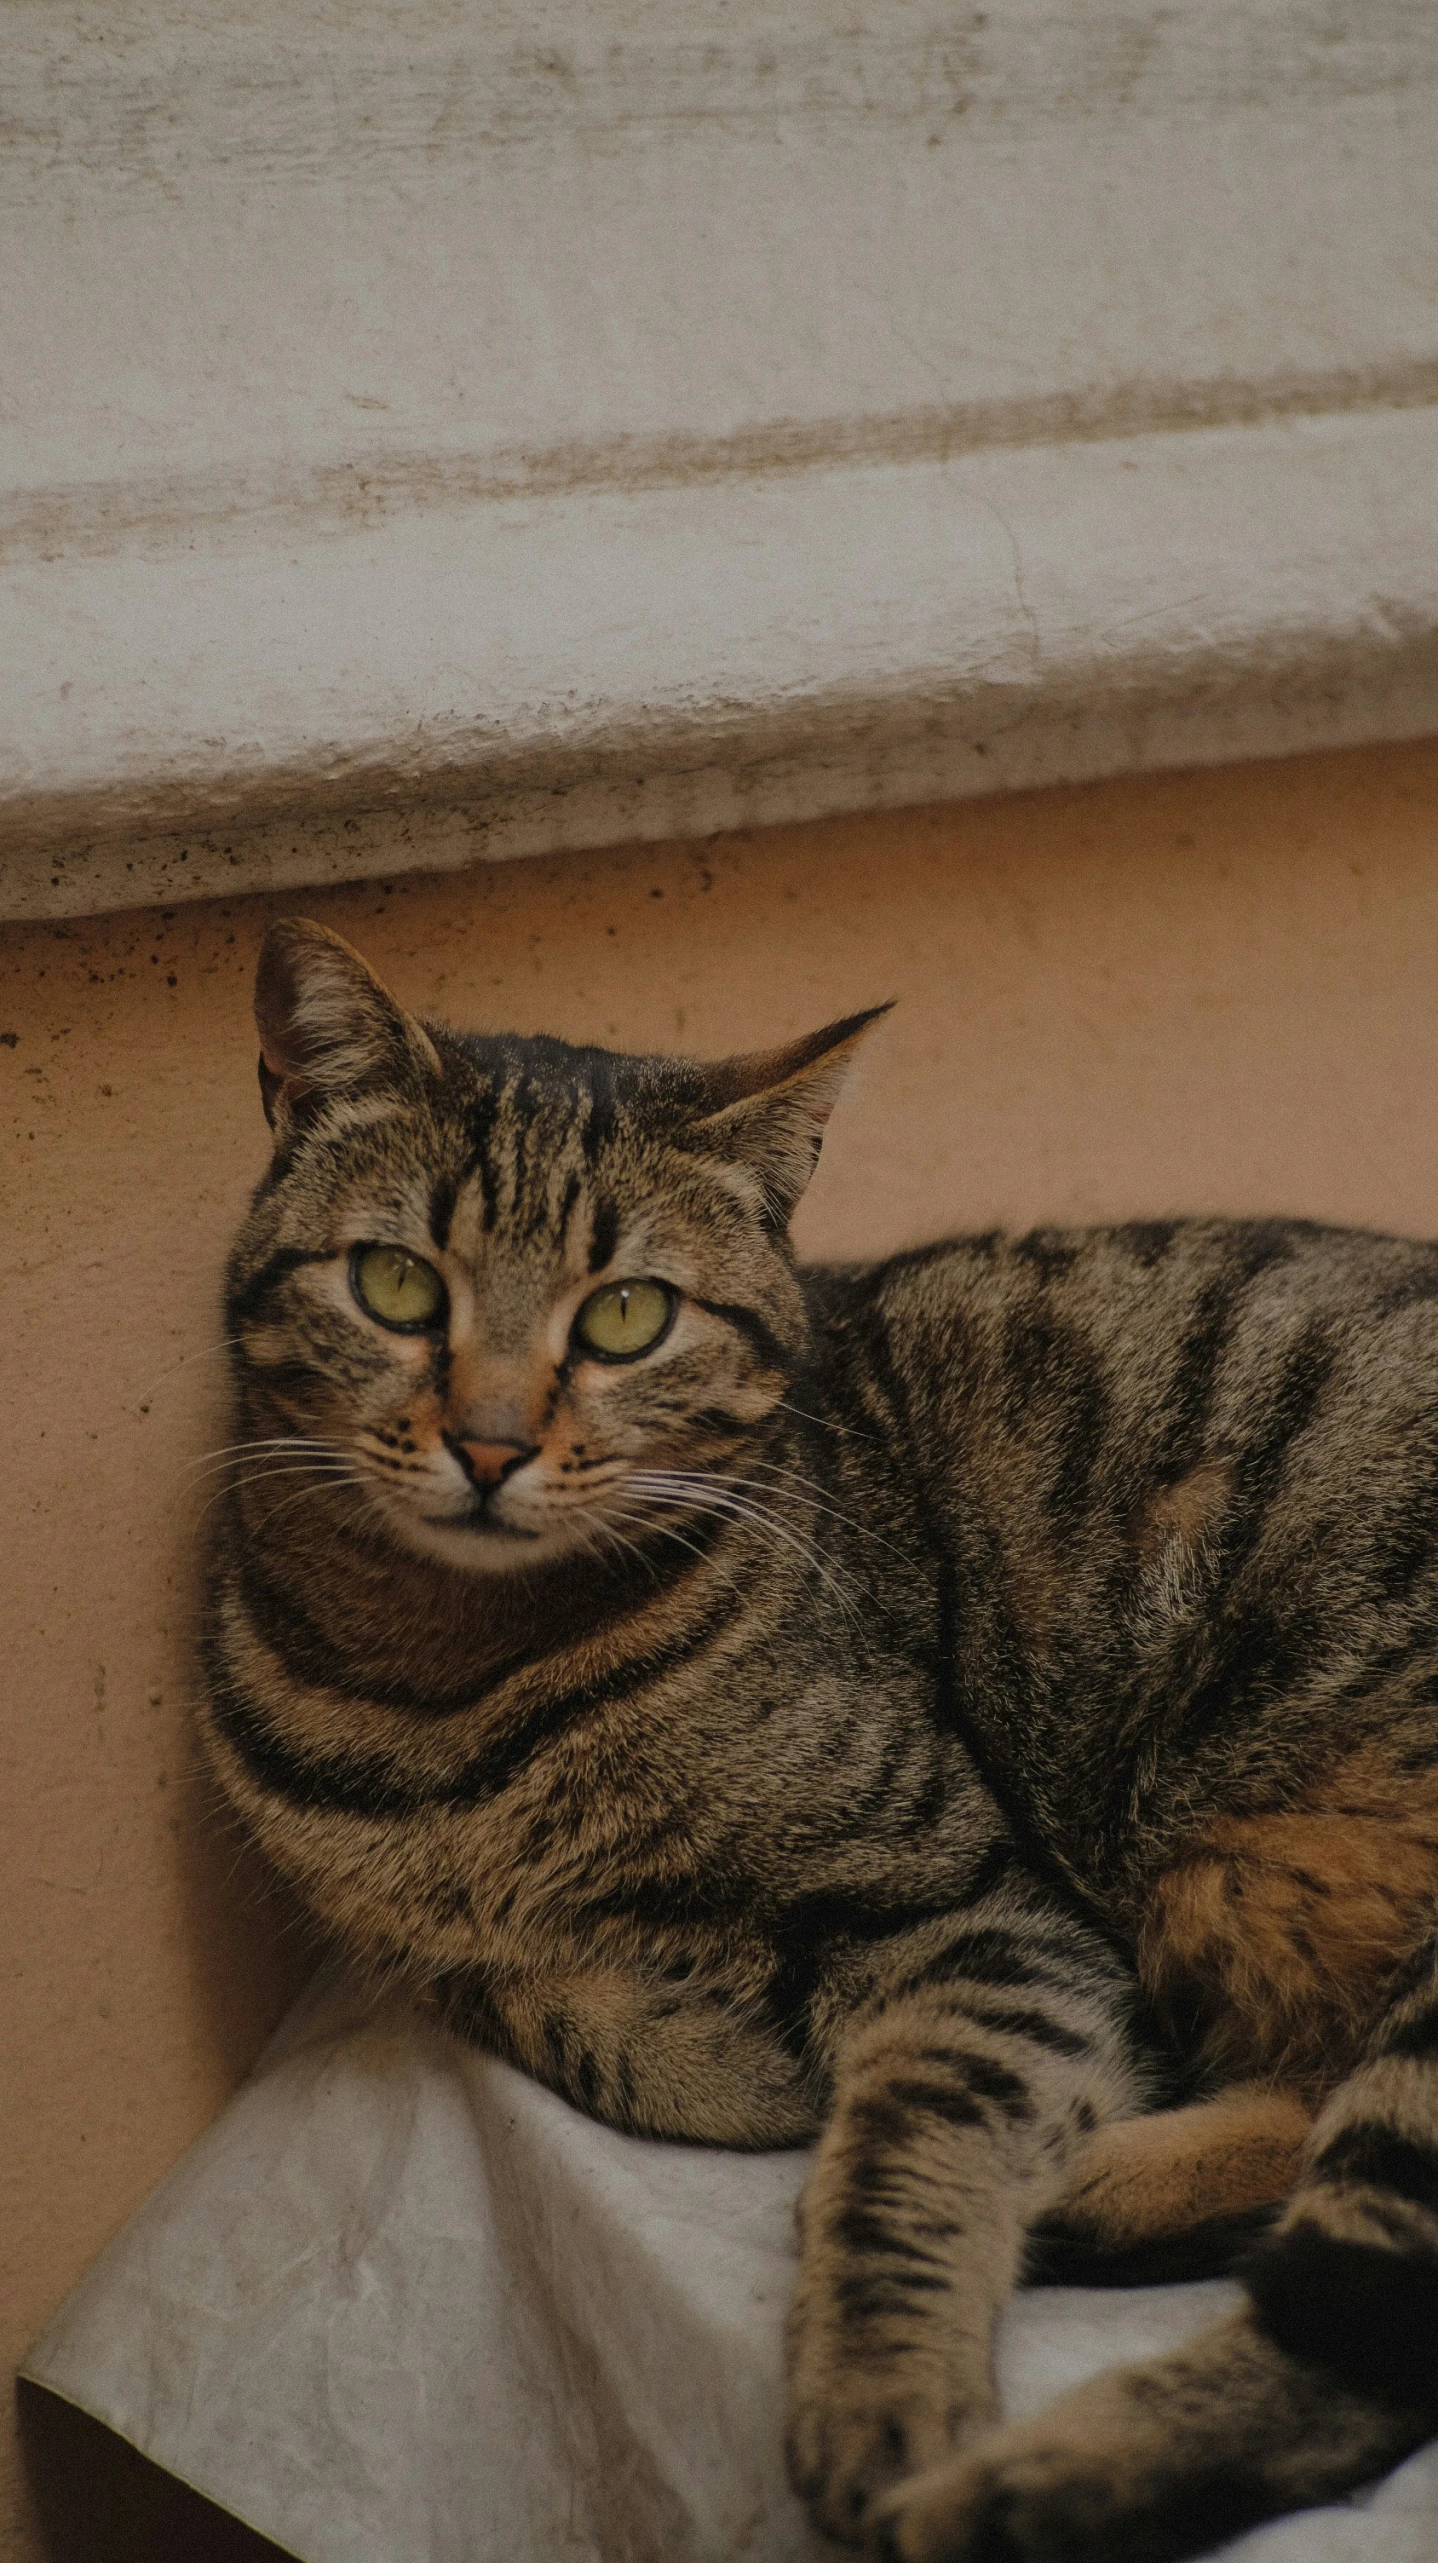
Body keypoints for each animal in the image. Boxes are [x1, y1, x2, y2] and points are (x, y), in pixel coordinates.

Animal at [198, 922, 1435, 2563]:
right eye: (395, 1284)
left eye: (626, 1315)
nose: (489, 1441)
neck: (444, 1677)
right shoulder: (426, 1946)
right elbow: (569, 2019)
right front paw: (722, 2034)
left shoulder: (977, 1905)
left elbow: (906, 2153)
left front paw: (881, 2391)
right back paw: (1091, 2190)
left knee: (1371, 2331)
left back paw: (1009, 2479)